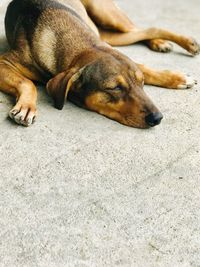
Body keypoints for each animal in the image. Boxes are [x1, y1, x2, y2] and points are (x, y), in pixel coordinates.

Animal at [0, 0, 199, 129]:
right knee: (143, 31)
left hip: (107, 16)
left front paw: (177, 78)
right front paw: (26, 107)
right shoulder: (4, 62)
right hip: (108, 34)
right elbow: (27, 82)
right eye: (115, 88)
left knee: (146, 29)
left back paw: (181, 42)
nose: (158, 118)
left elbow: (144, 68)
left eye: (141, 83)